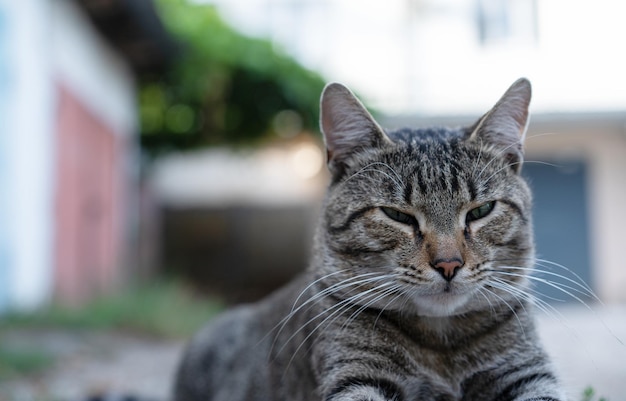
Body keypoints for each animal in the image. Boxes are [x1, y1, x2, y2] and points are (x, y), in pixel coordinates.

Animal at [172, 79, 564, 400]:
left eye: (481, 210)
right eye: (397, 215)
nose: (449, 264)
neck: (439, 344)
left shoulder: (525, 372)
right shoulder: (356, 376)